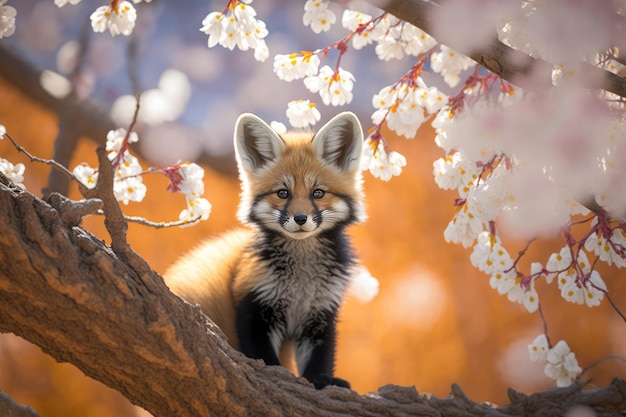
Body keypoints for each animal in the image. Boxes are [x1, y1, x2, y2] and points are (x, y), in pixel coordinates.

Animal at [166, 112, 364, 388]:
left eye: (318, 193)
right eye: (283, 193)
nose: (300, 219)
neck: (301, 282)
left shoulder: (322, 312)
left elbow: (318, 361)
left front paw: (322, 381)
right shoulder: (254, 306)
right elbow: (265, 358)